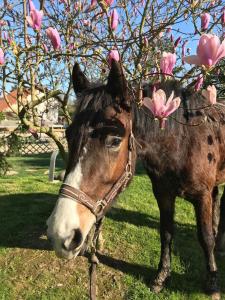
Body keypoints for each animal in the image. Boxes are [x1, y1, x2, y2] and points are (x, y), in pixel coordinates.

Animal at [46, 59, 225, 298]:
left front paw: (212, 282)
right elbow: (166, 232)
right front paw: (161, 277)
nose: (60, 234)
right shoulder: (163, 194)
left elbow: (205, 238)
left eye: (114, 140)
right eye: (68, 135)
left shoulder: (201, 196)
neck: (182, 143)